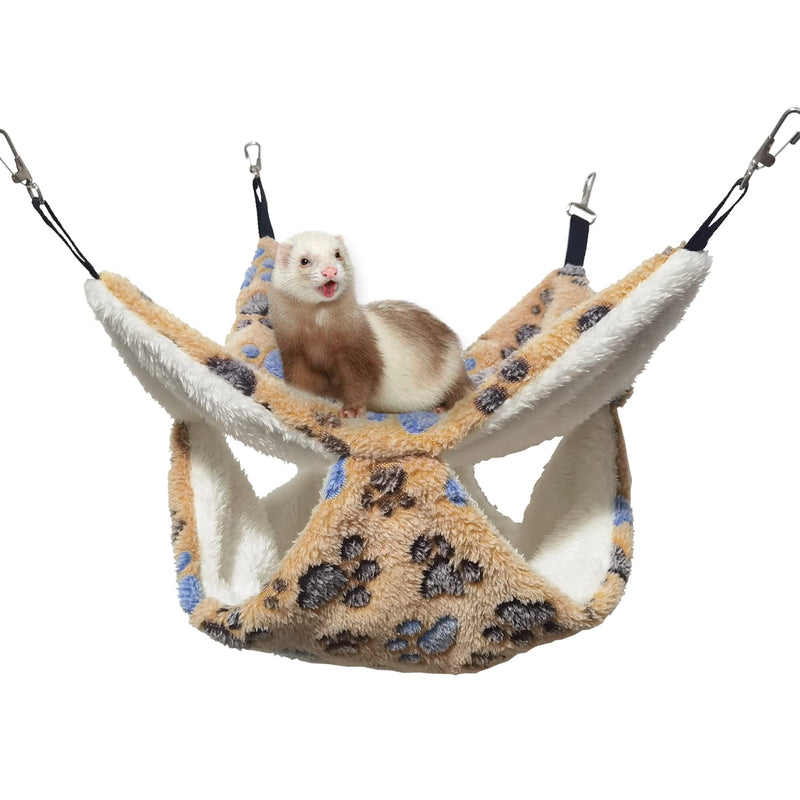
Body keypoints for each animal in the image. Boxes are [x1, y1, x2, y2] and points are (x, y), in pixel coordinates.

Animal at [269, 231, 472, 417]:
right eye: (304, 260)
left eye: (337, 253)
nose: (330, 270)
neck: (318, 339)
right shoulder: (294, 354)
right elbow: (302, 383)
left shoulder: (358, 352)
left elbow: (359, 383)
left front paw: (352, 410)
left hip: (451, 372)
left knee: (460, 392)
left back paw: (442, 406)